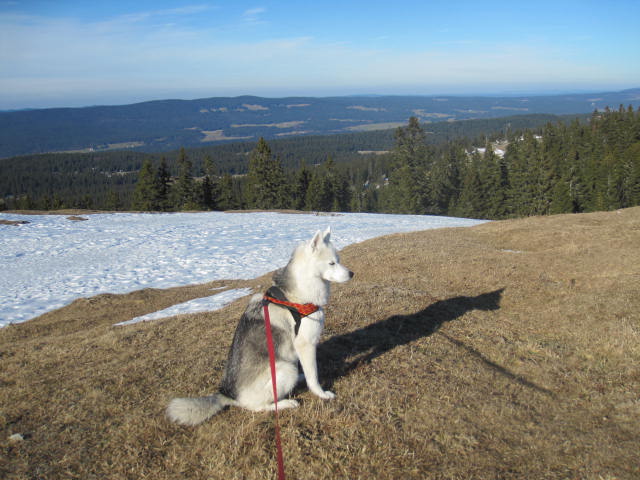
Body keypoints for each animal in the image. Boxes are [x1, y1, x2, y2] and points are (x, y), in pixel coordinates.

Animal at [168, 227, 352, 426]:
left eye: (338, 260)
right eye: (332, 263)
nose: (351, 274)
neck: (296, 296)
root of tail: (229, 394)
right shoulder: (305, 344)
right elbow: (313, 377)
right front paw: (321, 394)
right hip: (284, 370)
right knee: (258, 407)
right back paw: (286, 403)